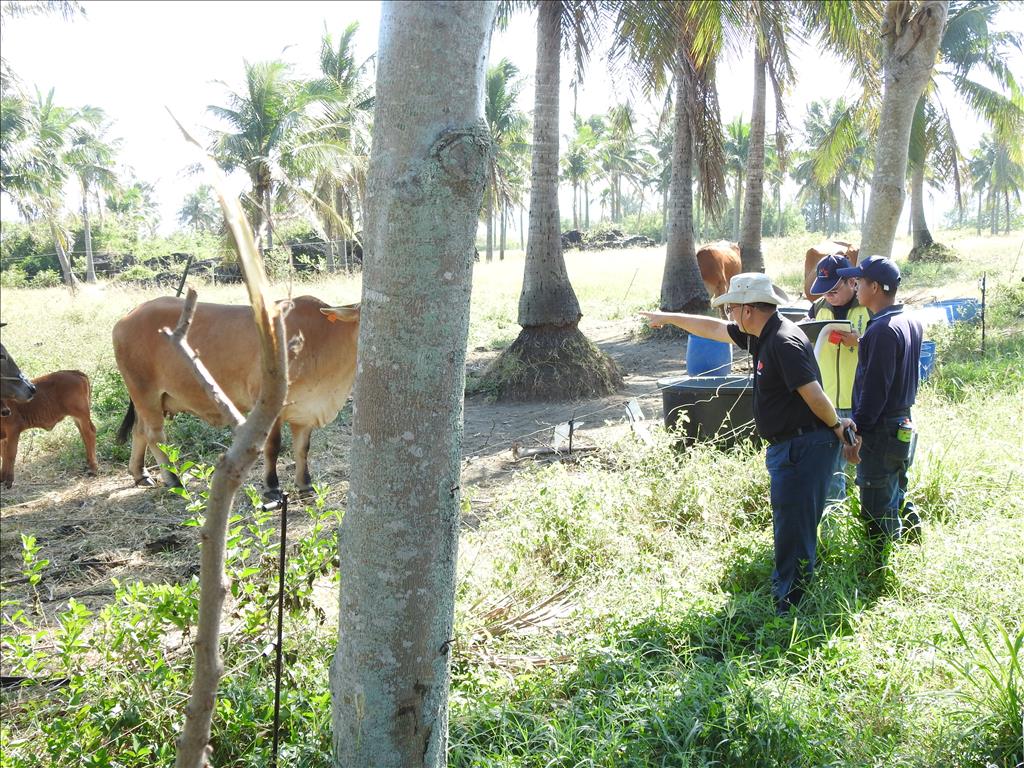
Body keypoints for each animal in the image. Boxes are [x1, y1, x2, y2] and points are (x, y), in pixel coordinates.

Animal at [111, 294, 360, 499]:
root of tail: (127, 317)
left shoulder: (307, 409)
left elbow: (302, 449)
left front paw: (305, 486)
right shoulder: (269, 406)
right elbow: (273, 447)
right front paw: (272, 488)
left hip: (149, 398)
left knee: (139, 431)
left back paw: (140, 474)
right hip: (145, 393)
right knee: (155, 435)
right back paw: (174, 481)